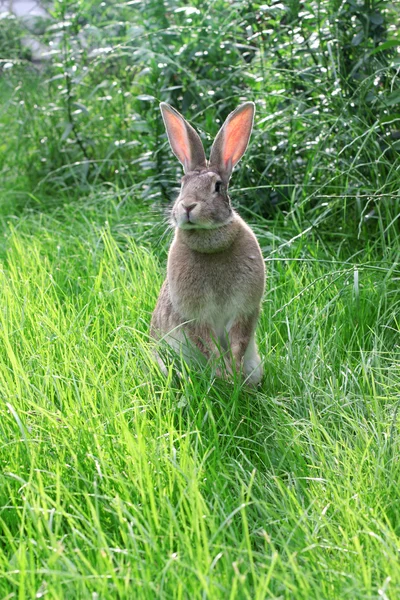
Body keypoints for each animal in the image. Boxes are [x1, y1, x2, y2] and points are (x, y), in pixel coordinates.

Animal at [150, 101, 266, 386]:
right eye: (182, 185)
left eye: (218, 186)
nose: (188, 206)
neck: (209, 239)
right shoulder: (193, 316)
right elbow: (207, 343)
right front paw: (225, 375)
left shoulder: (245, 310)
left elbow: (238, 340)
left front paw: (233, 374)